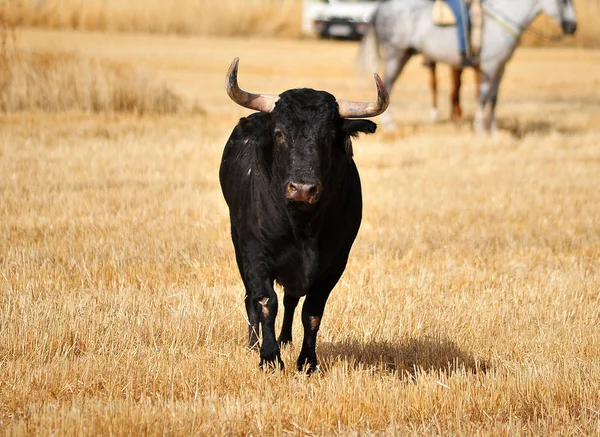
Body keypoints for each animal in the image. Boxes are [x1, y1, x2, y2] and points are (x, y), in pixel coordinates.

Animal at [219, 58, 390, 372]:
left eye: (330, 136)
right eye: (279, 133)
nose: (302, 188)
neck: (302, 225)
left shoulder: (334, 263)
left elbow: (311, 311)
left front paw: (307, 361)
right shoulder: (254, 253)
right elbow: (265, 302)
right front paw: (269, 357)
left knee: (291, 300)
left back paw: (286, 339)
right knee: (252, 298)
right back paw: (254, 343)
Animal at [356, 0, 576, 133]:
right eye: (564, 1)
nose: (573, 27)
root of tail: (380, 8)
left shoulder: (501, 67)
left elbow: (494, 99)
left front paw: (494, 129)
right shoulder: (489, 66)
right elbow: (484, 96)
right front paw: (480, 128)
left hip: (404, 54)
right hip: (396, 53)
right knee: (389, 85)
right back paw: (390, 125)